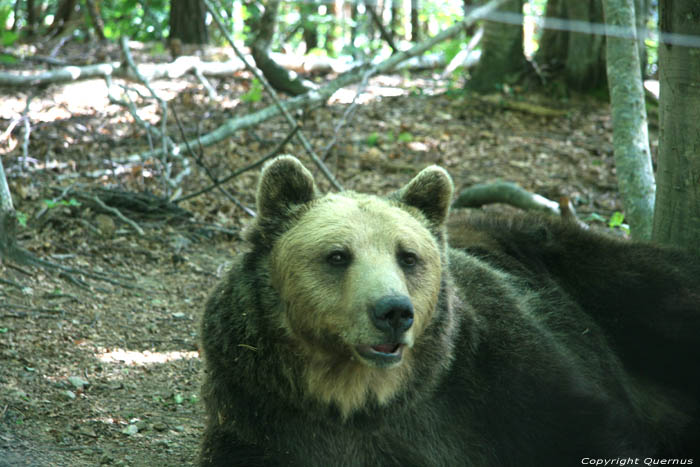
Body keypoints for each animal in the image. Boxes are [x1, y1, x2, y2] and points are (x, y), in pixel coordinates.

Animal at [198, 155, 700, 466]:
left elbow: (589, 425)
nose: (393, 311)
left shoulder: (496, 378)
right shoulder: (266, 419)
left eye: (407, 256)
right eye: (338, 255)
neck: (362, 396)